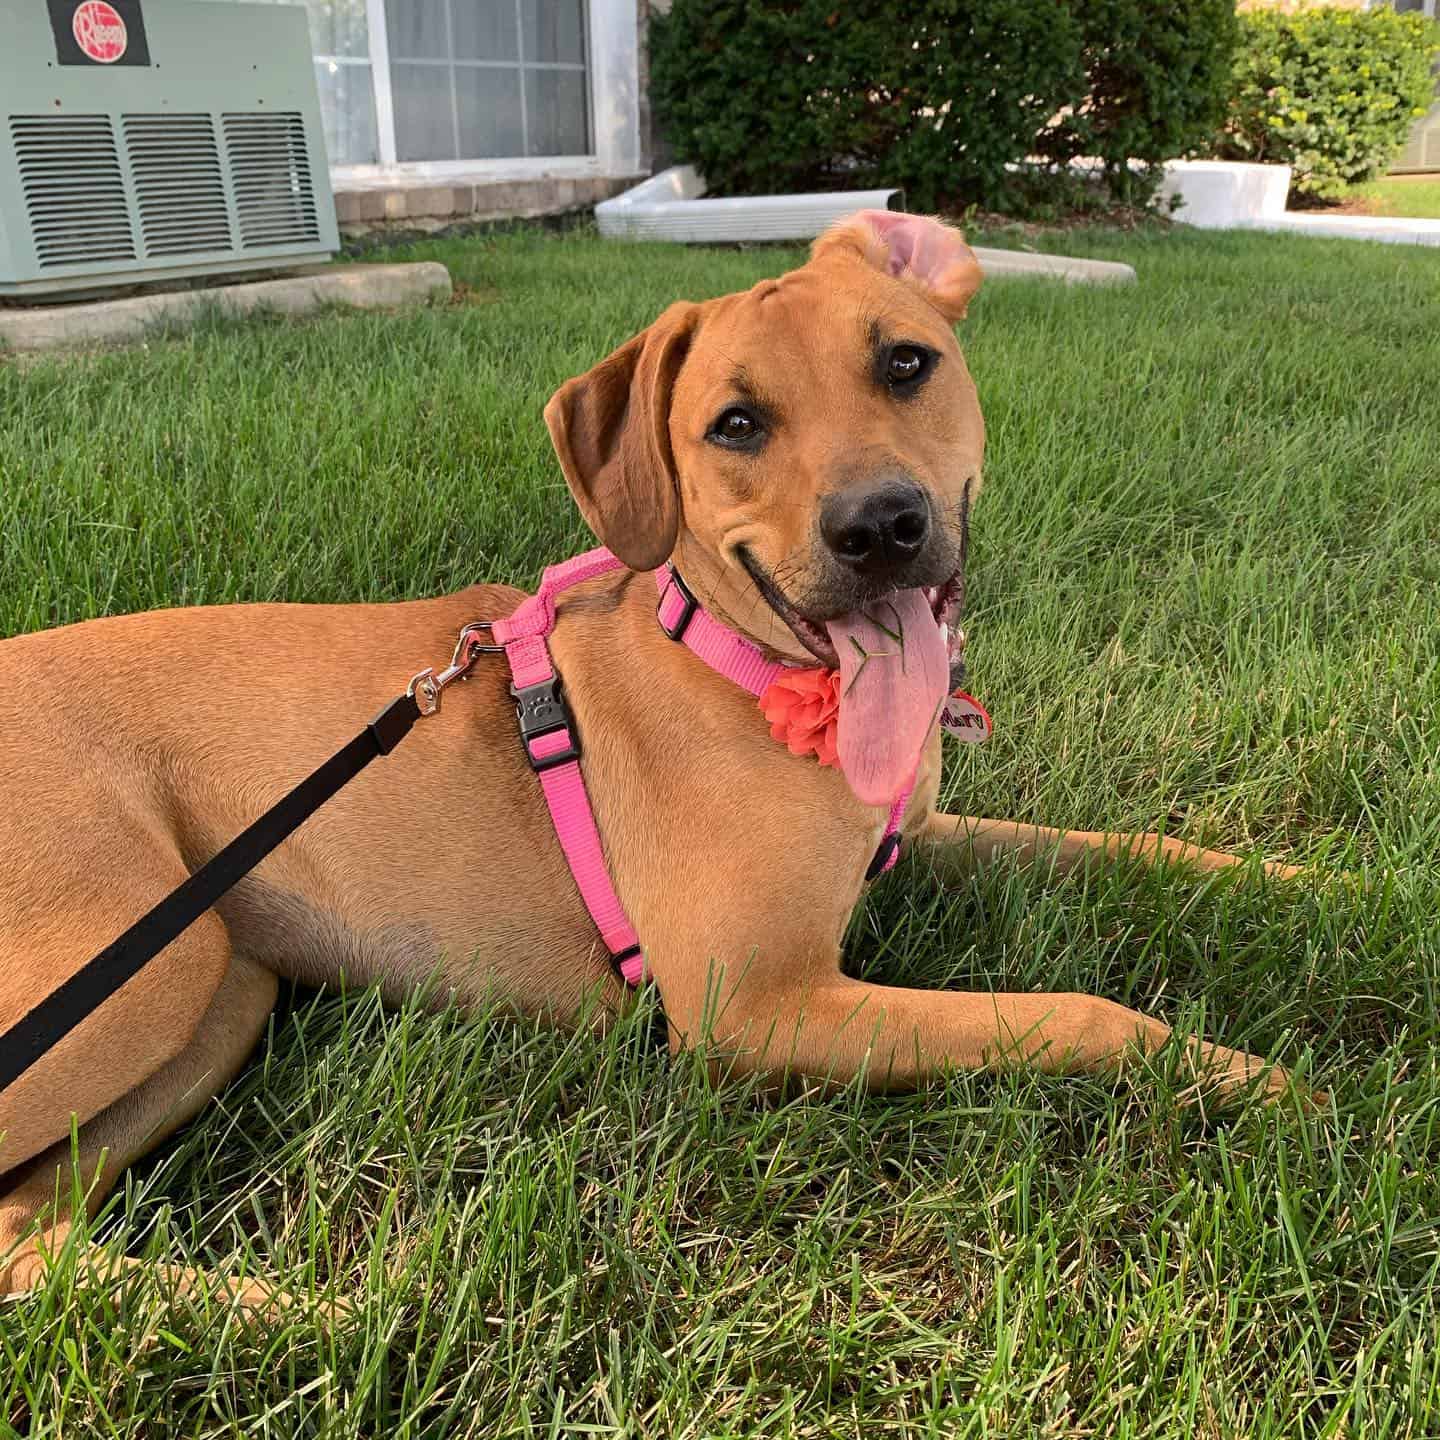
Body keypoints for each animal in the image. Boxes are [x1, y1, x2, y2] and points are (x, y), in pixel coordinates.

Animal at [0, 213, 1301, 1307]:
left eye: (905, 363)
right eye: (736, 425)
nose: (881, 527)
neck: (746, 668)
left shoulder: (922, 836)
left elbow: (1138, 845)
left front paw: (1305, 884)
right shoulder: (762, 1009)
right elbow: (1076, 1011)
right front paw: (1242, 1074)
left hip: (220, 986)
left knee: (26, 1238)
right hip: (143, 965)